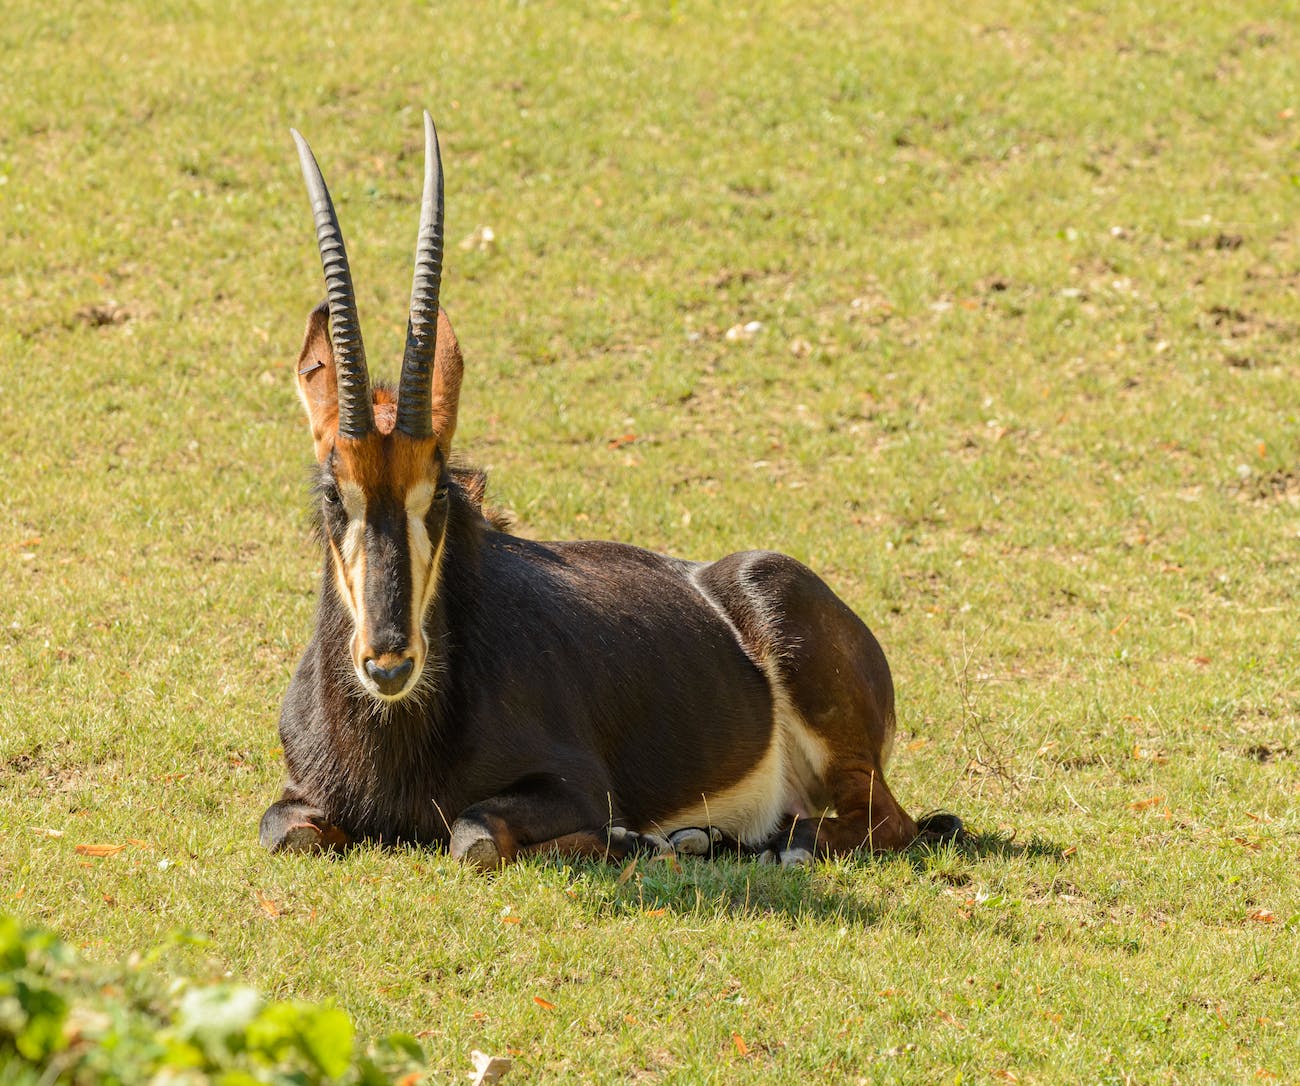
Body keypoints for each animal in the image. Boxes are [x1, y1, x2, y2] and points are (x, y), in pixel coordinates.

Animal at [258, 112, 961, 874]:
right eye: (335, 493)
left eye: (438, 492)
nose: (389, 661)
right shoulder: (299, 794)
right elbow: (284, 829)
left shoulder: (574, 786)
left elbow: (475, 836)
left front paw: (629, 839)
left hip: (838, 743)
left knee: (885, 824)